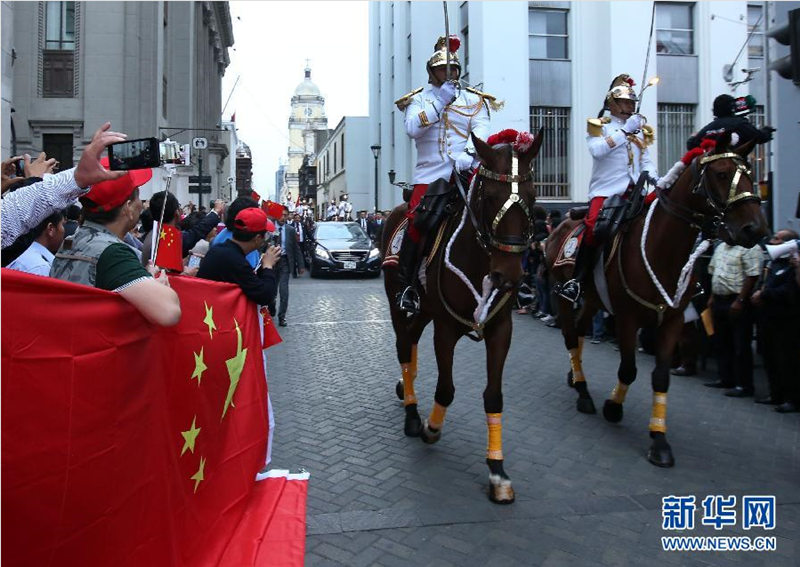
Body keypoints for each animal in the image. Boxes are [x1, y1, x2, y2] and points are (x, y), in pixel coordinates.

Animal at [382, 130, 544, 506]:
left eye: (532, 194)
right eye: (491, 196)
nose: (509, 276)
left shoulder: (501, 329)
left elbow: (494, 396)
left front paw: (498, 472)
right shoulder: (445, 328)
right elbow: (446, 389)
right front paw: (431, 427)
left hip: (423, 311)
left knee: (411, 345)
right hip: (399, 305)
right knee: (403, 349)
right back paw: (412, 414)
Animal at [548, 132, 764, 466]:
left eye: (750, 174)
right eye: (721, 173)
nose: (754, 228)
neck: (662, 248)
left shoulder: (672, 319)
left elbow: (661, 377)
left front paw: (659, 440)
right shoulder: (627, 318)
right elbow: (628, 369)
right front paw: (613, 407)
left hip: (594, 299)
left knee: (581, 331)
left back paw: (575, 375)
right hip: (563, 294)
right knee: (571, 337)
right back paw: (583, 393)